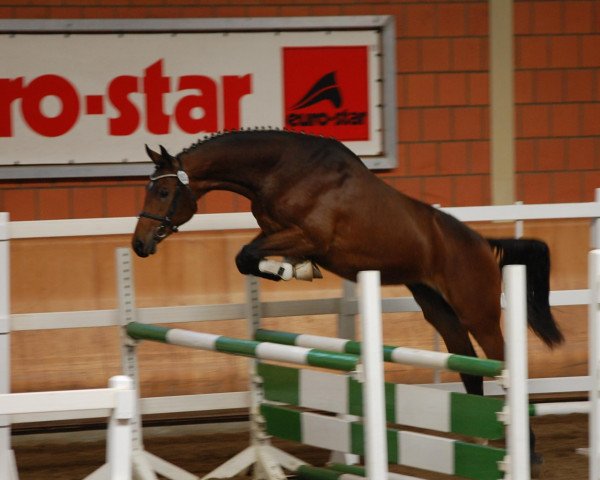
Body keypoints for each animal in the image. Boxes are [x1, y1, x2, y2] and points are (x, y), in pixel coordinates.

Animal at [131, 128, 564, 468]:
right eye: (149, 190)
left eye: (164, 191)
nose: (139, 244)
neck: (282, 171)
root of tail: (482, 244)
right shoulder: (277, 232)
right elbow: (247, 257)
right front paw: (292, 270)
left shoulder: (308, 237)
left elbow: (247, 255)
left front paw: (289, 270)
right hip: (439, 310)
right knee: (470, 367)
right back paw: (475, 441)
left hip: (478, 312)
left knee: (502, 363)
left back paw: (528, 452)